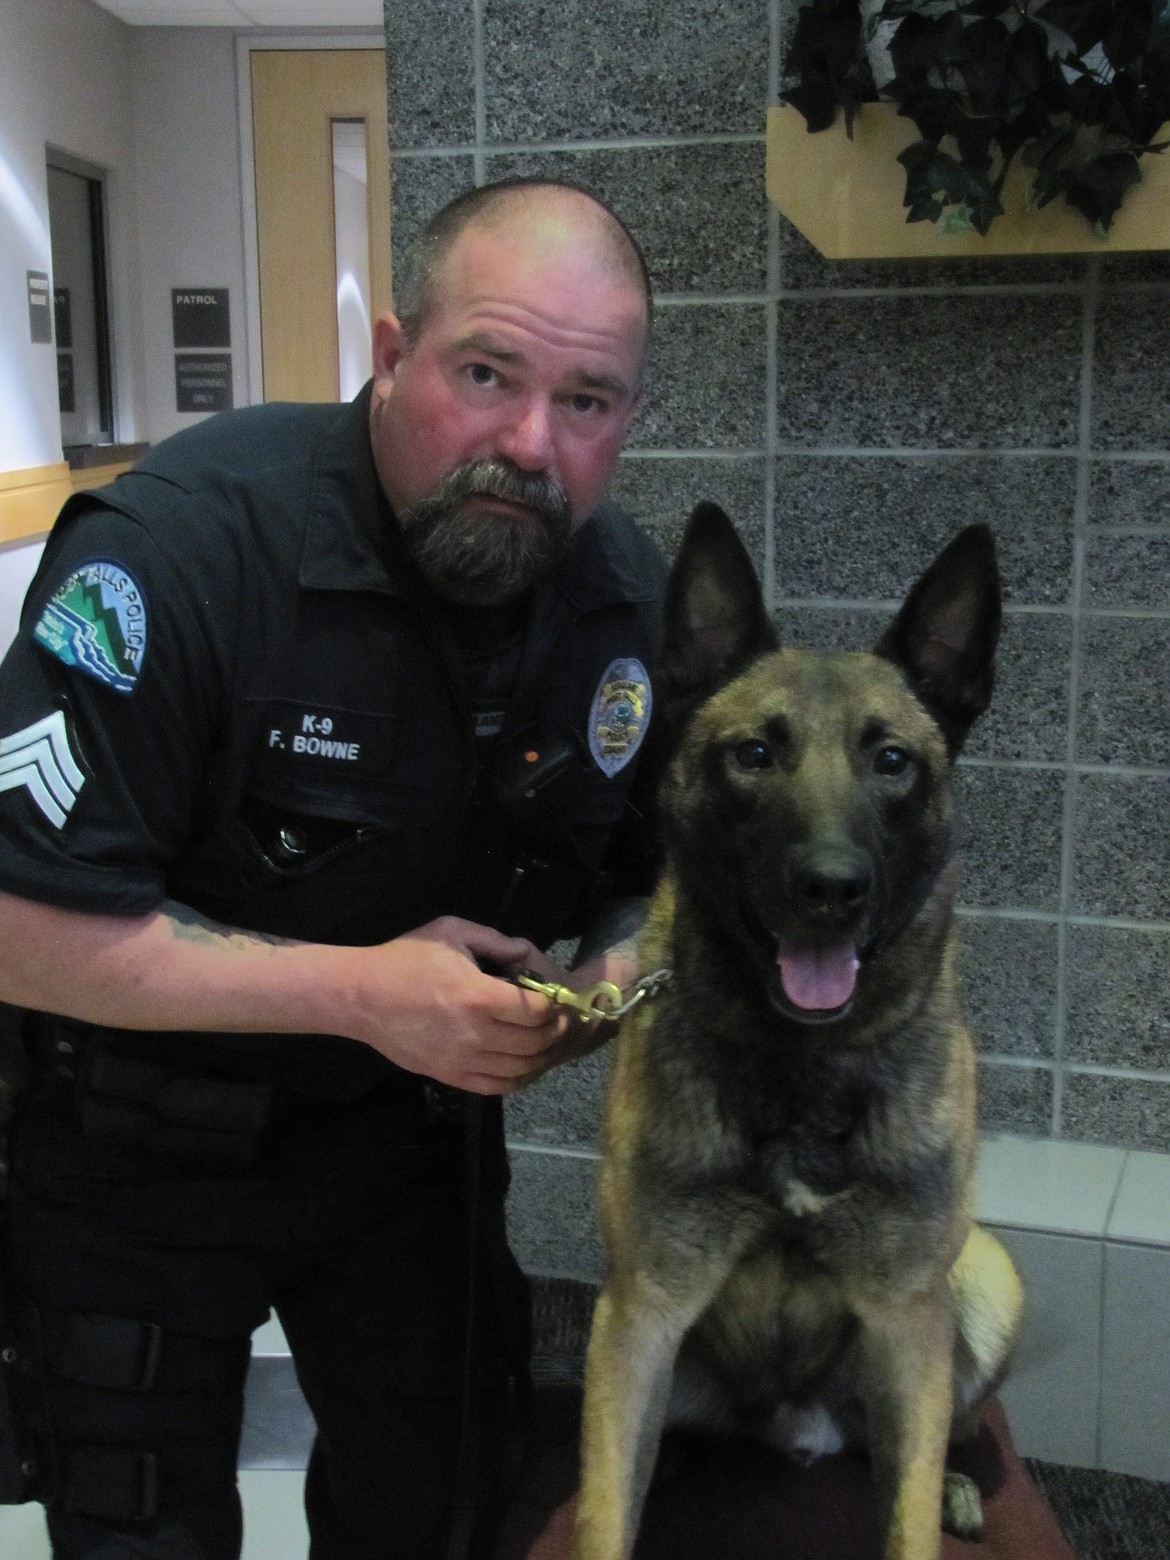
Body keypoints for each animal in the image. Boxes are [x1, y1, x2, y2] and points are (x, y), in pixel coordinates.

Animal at [577, 505, 1023, 1553]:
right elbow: (603, 1514)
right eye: (754, 755)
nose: (830, 888)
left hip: (982, 1282)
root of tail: (796, 1427)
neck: (799, 1063)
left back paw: (955, 1482)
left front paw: (931, 1498)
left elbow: (906, 1512)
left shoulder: (905, 1317)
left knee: (924, 1440)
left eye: (892, 760)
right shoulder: (640, 1312)